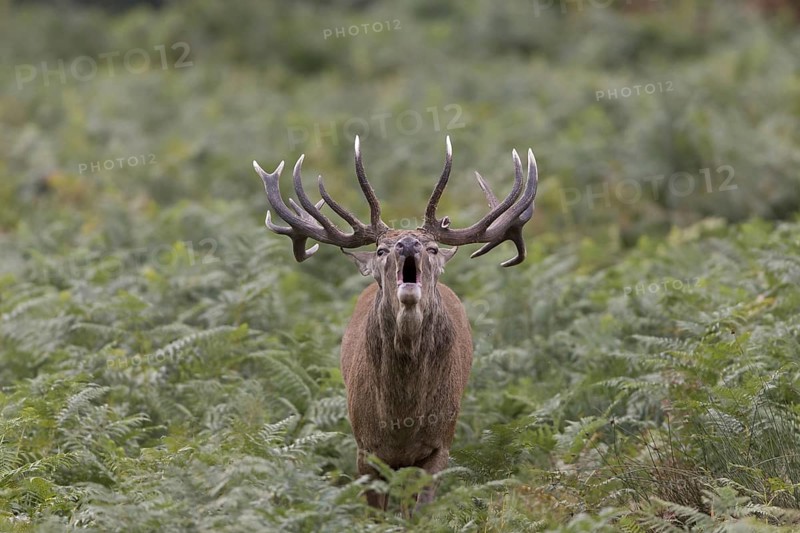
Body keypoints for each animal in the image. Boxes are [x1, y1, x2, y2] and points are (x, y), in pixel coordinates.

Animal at [253, 136, 538, 511]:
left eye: (432, 248)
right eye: (380, 250)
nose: (408, 243)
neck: (402, 417)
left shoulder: (440, 444)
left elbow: (419, 509)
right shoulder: (365, 448)